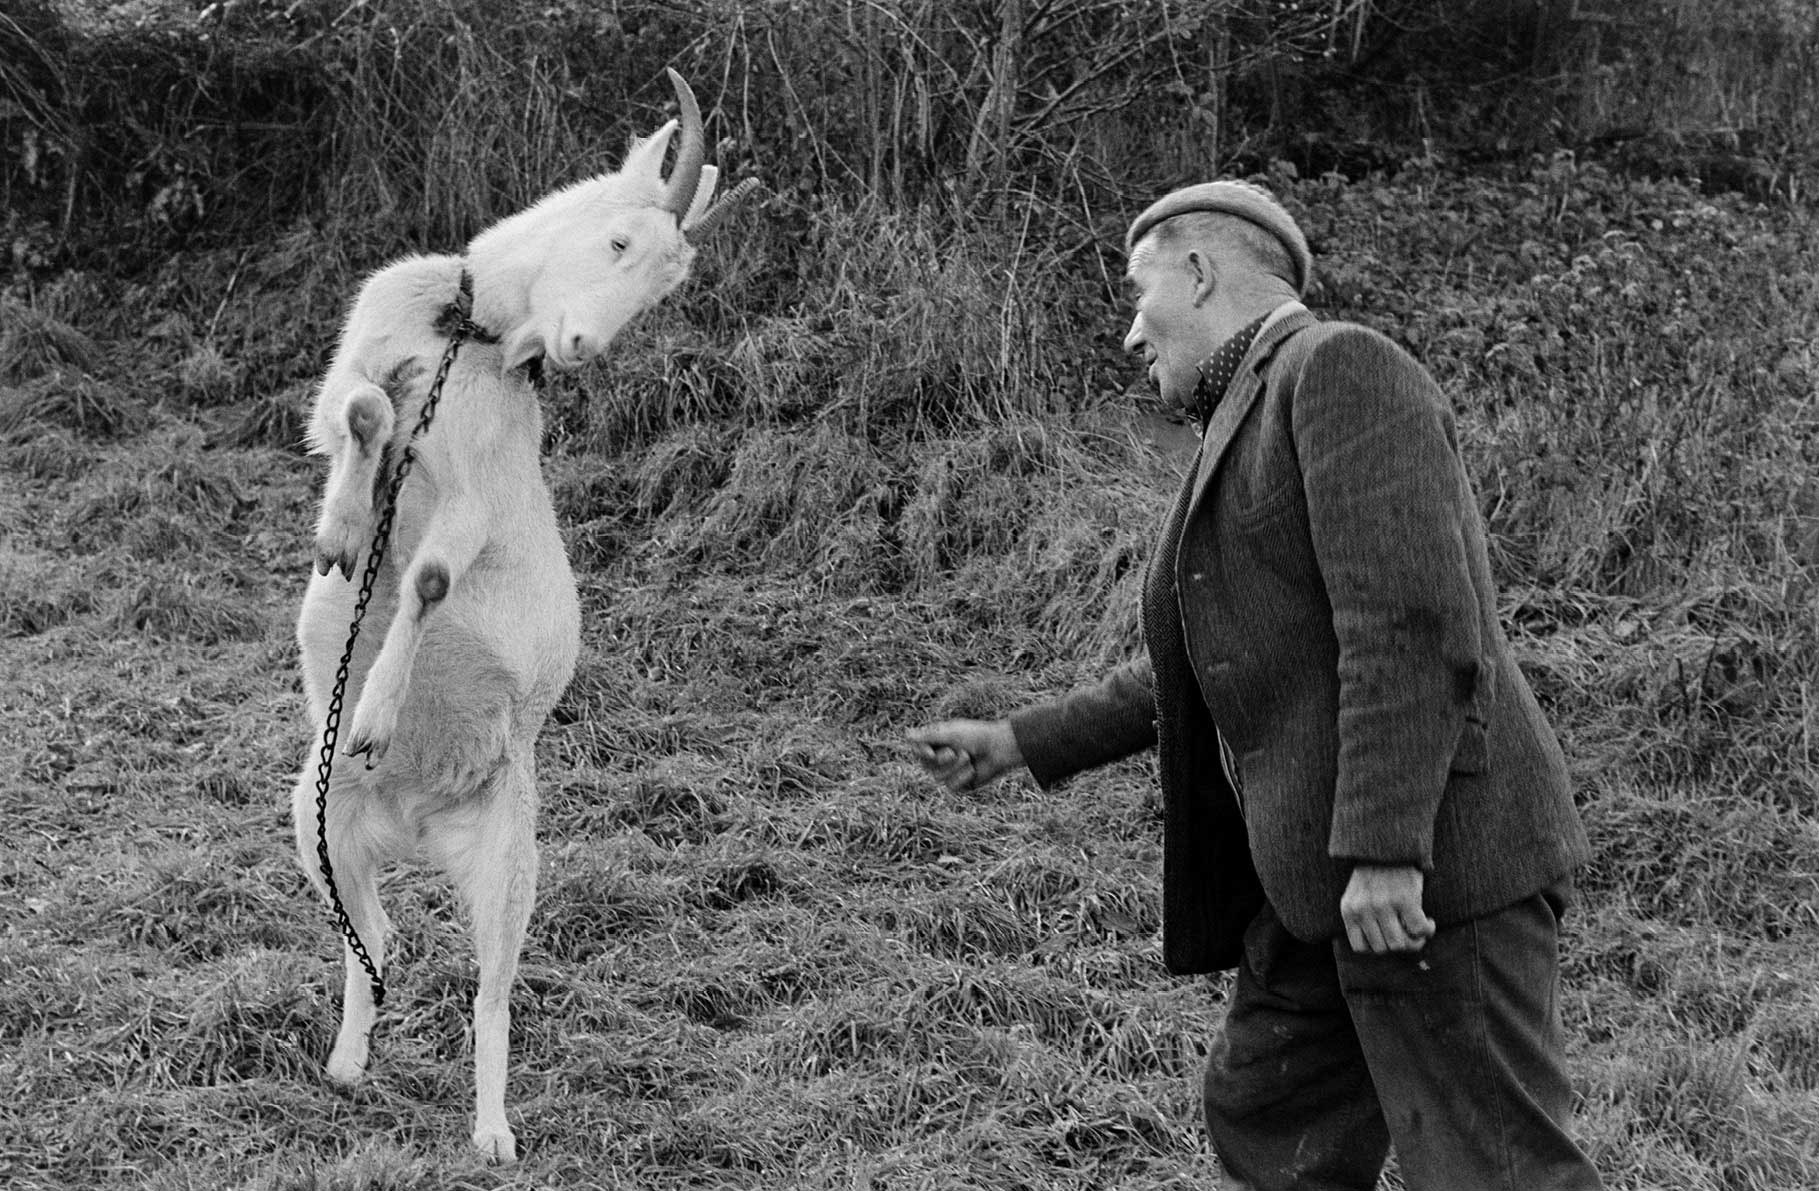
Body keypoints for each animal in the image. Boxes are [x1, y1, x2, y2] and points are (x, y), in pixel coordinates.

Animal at [291, 67, 760, 1163]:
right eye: (620, 242)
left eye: (668, 287)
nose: (581, 347)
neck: (468, 339)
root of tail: (418, 821)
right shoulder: (360, 361)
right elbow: (357, 413)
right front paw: (343, 527)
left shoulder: (475, 499)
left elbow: (427, 579)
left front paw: (375, 711)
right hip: (313, 818)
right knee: (374, 938)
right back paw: (346, 1064)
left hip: (510, 858)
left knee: (490, 992)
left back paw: (493, 1132)